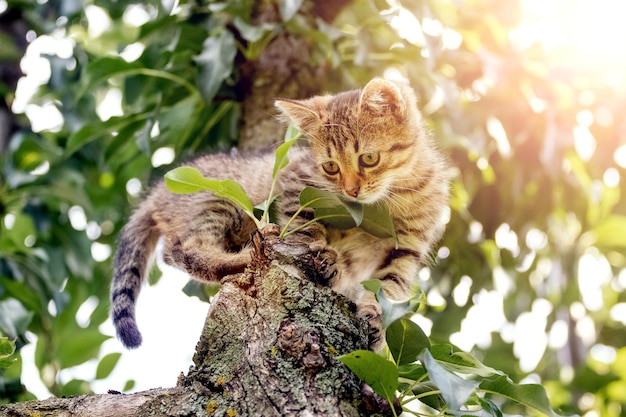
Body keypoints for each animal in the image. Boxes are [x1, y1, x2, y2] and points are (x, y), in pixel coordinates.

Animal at [108, 77, 448, 348]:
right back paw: (243, 258)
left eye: (369, 158)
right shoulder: (296, 186)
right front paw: (325, 257)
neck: (385, 206)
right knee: (183, 249)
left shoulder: (407, 250)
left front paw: (375, 320)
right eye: (331, 167)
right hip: (221, 200)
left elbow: (389, 288)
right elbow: (307, 230)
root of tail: (157, 190)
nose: (351, 191)